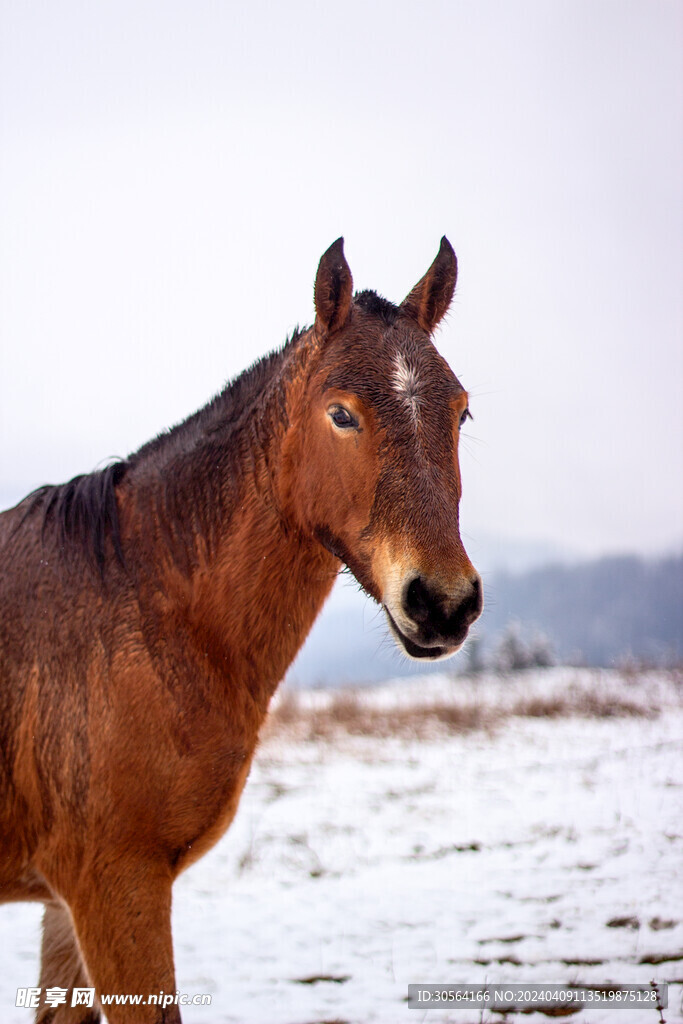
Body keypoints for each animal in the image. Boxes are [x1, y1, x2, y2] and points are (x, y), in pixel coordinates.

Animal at [0, 237, 483, 1015]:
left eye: (461, 413)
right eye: (340, 414)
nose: (442, 601)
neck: (144, 605)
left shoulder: (61, 904)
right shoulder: (113, 886)